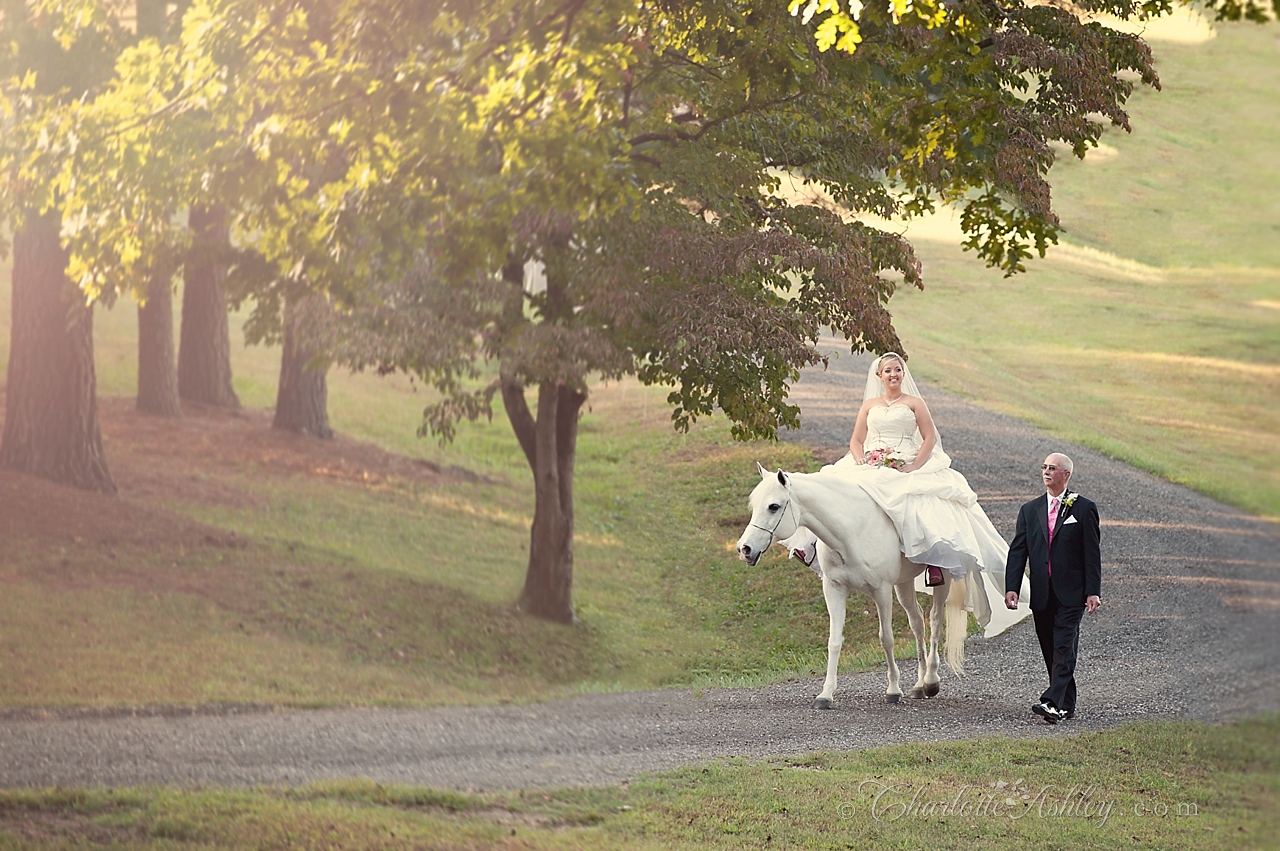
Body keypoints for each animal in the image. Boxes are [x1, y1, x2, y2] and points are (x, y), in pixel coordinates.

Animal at [737, 465, 962, 701]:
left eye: (774, 506)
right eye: (754, 505)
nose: (744, 549)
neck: (851, 532)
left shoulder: (882, 591)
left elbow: (886, 638)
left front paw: (893, 689)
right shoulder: (834, 589)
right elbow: (834, 640)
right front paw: (826, 693)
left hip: (943, 578)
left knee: (935, 619)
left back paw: (931, 681)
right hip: (904, 582)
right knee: (917, 621)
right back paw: (919, 684)